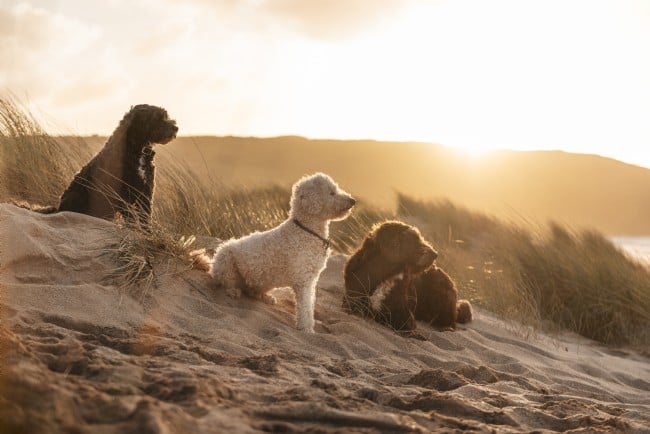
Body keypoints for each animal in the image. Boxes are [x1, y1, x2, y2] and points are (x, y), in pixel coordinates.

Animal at [209, 173, 354, 332]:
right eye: (331, 193)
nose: (353, 201)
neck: (307, 231)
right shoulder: (303, 280)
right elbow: (305, 307)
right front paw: (306, 329)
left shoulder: (311, 279)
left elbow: (309, 306)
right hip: (225, 259)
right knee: (226, 281)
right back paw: (233, 291)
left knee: (252, 291)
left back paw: (265, 297)